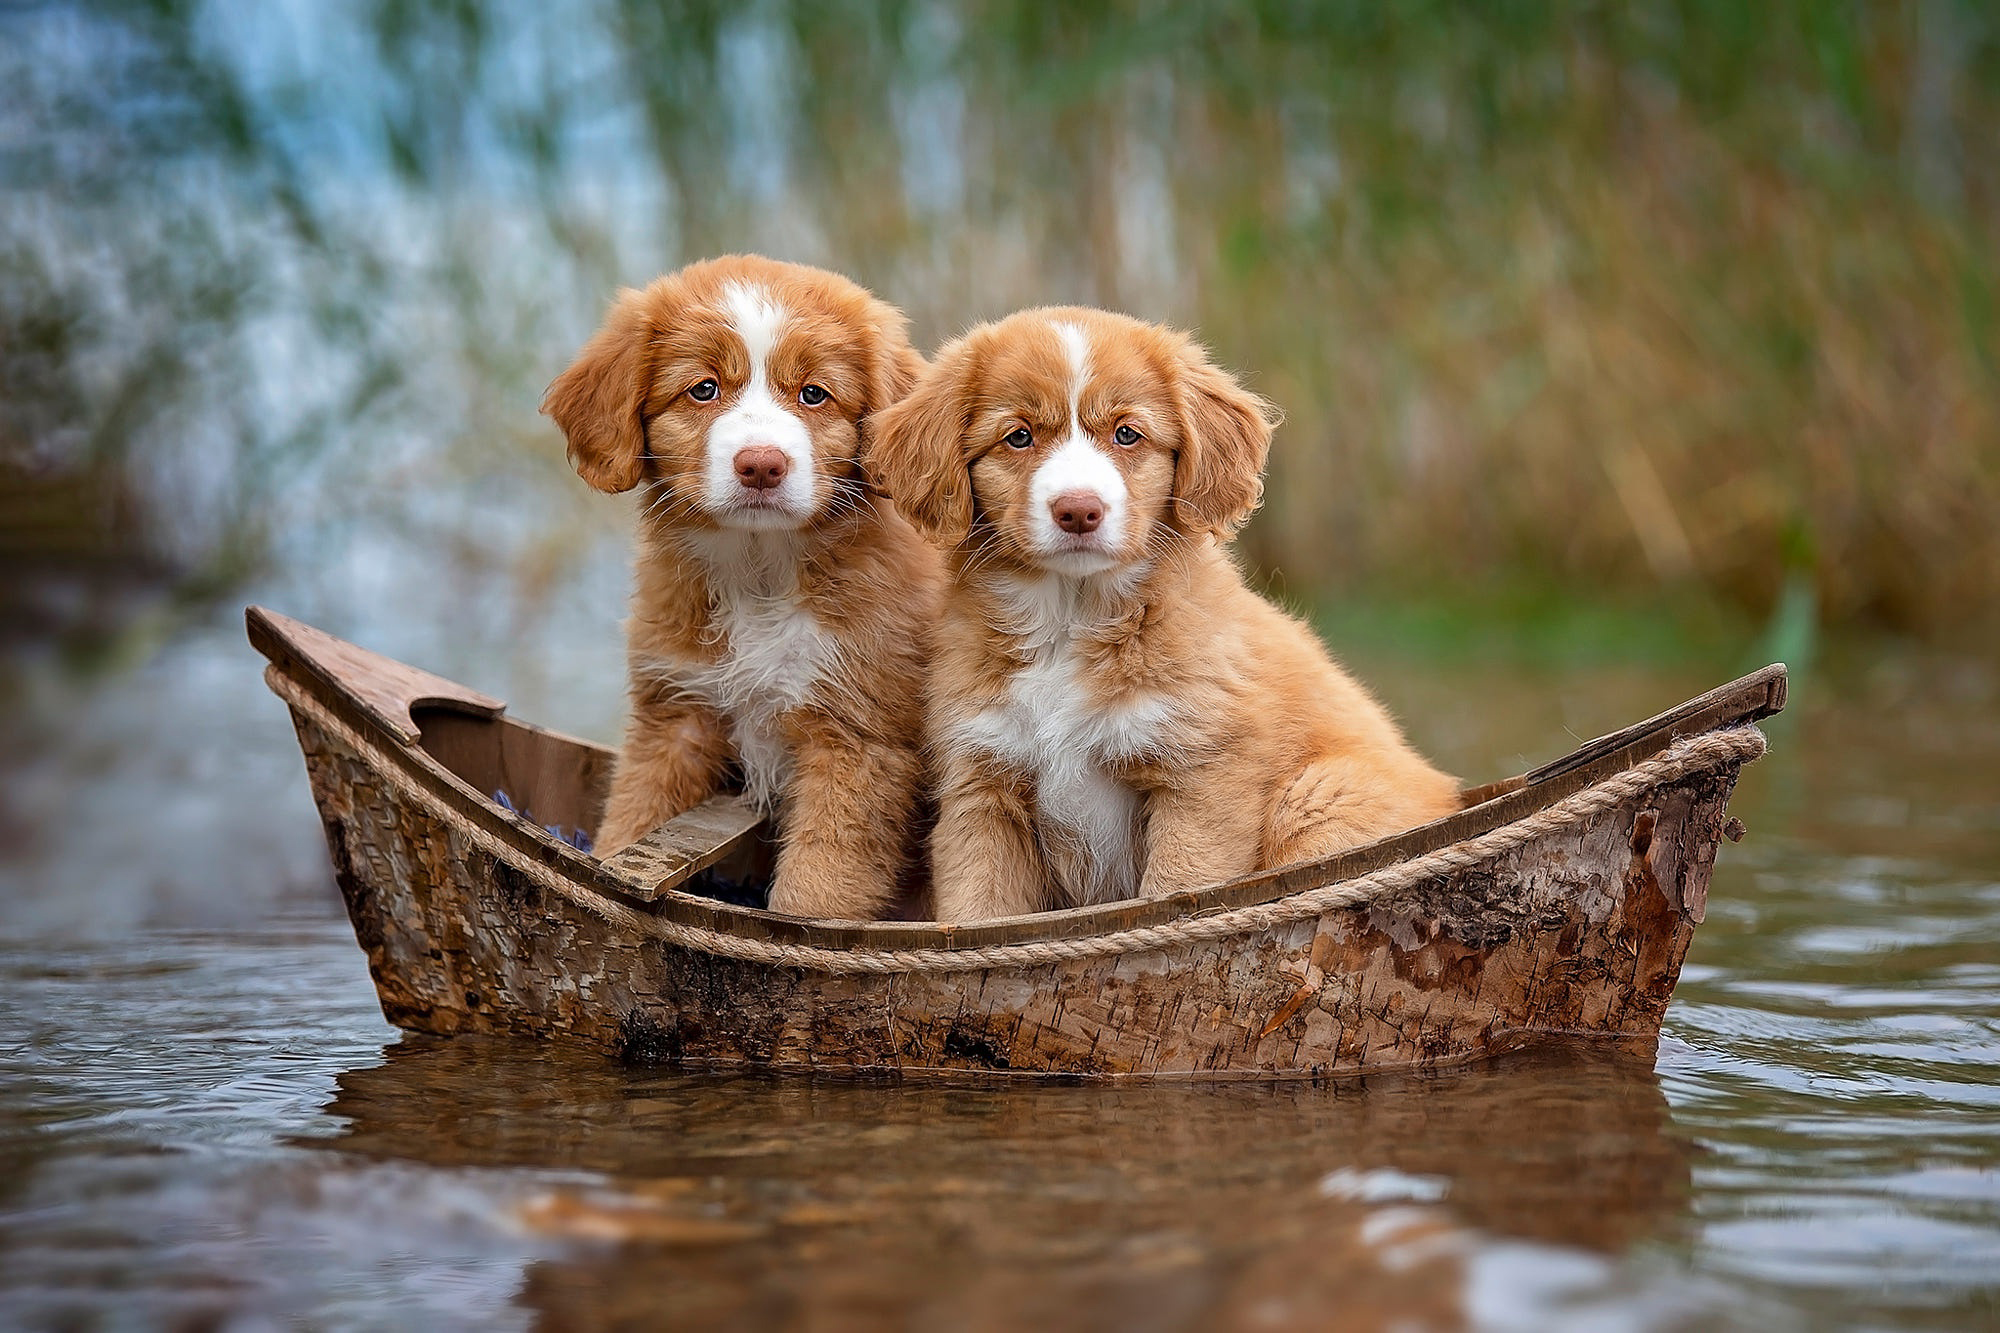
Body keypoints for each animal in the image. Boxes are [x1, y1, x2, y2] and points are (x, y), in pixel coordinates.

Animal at [544, 254, 940, 920]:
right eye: (703, 389)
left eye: (814, 394)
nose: (762, 464)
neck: (759, 570)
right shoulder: (675, 715)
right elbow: (634, 822)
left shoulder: (857, 742)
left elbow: (816, 891)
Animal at [872, 306, 1456, 920]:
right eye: (1019, 437)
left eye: (1127, 433)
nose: (1078, 510)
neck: (1070, 619)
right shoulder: (981, 788)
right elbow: (978, 912)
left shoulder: (1201, 779)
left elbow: (1178, 889)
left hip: (1318, 798)